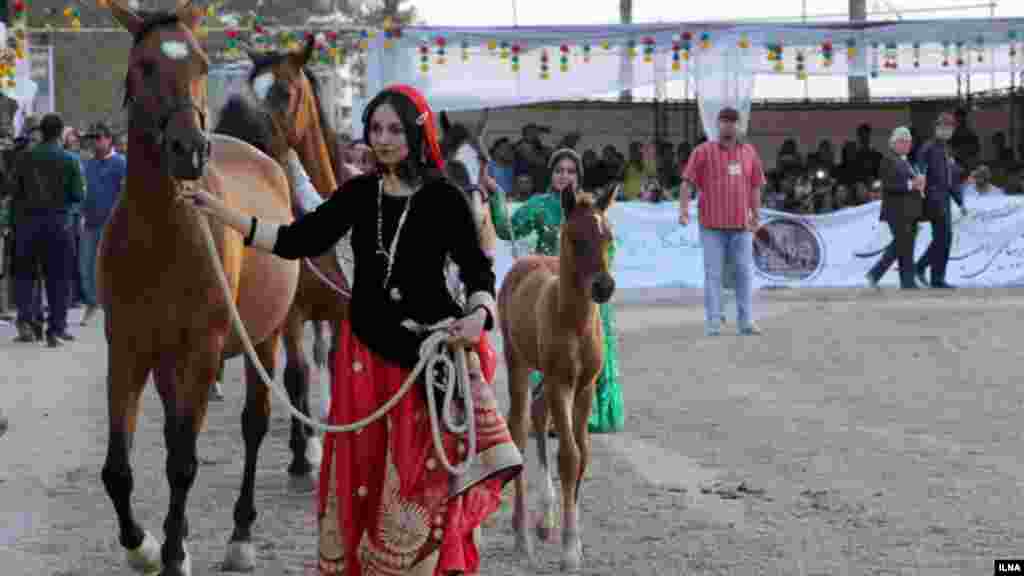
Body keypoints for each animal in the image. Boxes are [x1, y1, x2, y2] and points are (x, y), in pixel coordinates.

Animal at [96, 2, 299, 569]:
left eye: (203, 63)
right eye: (143, 65)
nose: (189, 148)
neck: (161, 236)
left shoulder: (204, 348)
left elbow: (184, 463)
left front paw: (168, 556)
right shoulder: (127, 346)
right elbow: (118, 469)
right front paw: (146, 546)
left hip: (263, 338)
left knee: (254, 422)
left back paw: (240, 536)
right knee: (173, 432)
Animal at [497, 184, 610, 569]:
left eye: (608, 236)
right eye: (575, 238)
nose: (604, 287)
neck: (574, 322)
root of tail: (524, 261)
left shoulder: (585, 386)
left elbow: (583, 453)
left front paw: (573, 543)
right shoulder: (562, 382)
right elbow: (569, 456)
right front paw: (569, 552)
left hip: (546, 377)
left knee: (538, 412)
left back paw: (544, 519)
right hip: (518, 360)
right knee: (518, 428)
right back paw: (521, 535)